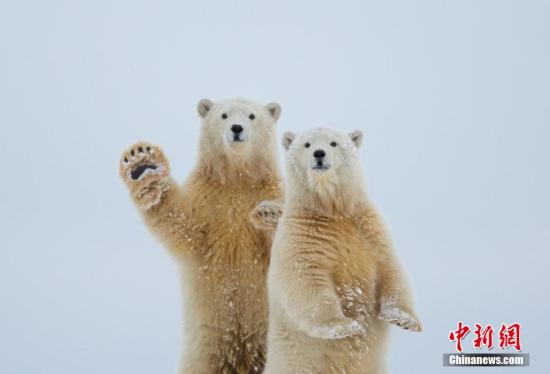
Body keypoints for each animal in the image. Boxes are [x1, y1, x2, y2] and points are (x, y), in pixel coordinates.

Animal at [121, 98, 284, 372]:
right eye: (224, 115)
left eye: (252, 115)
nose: (237, 128)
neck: (237, 180)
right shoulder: (207, 200)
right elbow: (182, 224)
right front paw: (142, 163)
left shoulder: (270, 190)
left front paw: (269, 212)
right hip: (204, 349)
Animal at [264, 129, 422, 374]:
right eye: (307, 144)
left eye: (333, 143)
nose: (319, 154)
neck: (334, 211)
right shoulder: (302, 234)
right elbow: (306, 279)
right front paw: (344, 326)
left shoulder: (369, 226)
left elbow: (390, 266)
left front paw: (404, 318)